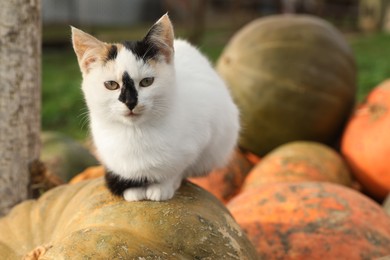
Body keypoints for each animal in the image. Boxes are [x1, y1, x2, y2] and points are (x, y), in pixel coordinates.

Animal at [71, 13, 239, 201]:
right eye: (111, 85)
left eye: (147, 82)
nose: (130, 101)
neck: (135, 134)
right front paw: (133, 190)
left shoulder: (204, 137)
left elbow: (178, 168)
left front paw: (163, 186)